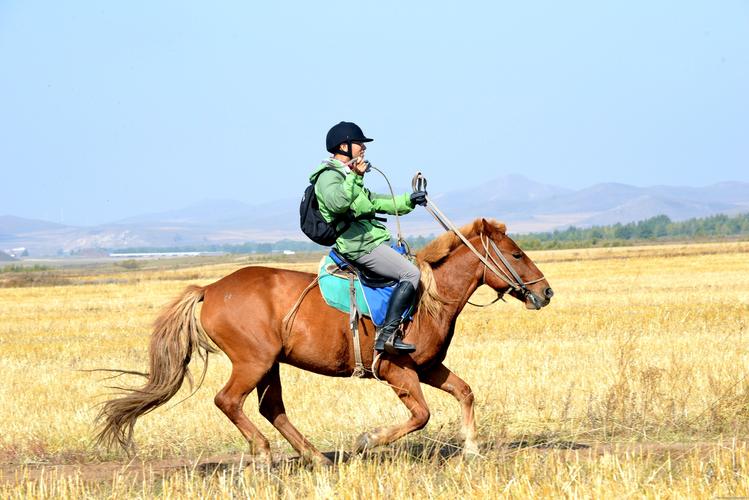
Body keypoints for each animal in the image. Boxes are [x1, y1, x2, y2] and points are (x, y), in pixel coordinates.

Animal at [96, 218, 553, 466]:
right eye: (516, 255)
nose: (546, 293)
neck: (429, 297)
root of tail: (210, 288)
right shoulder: (397, 369)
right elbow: (421, 415)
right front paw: (368, 440)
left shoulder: (428, 367)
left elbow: (465, 392)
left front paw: (472, 448)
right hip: (252, 362)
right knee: (229, 401)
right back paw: (264, 452)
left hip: (270, 365)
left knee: (271, 408)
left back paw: (314, 456)